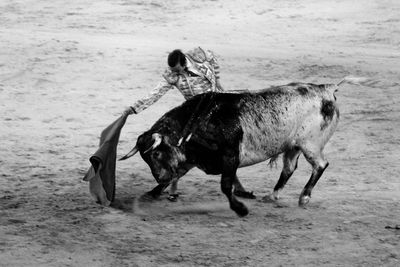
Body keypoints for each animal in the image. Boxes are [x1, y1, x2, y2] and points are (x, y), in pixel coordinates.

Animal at [120, 82, 340, 217]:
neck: (199, 120)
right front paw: (149, 196)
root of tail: (326, 90)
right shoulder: (191, 159)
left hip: (310, 145)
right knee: (289, 168)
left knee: (320, 165)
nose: (159, 177)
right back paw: (272, 196)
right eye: (145, 158)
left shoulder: (230, 157)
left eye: (156, 153)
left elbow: (226, 186)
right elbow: (175, 176)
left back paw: (304, 197)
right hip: (292, 146)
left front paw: (240, 209)